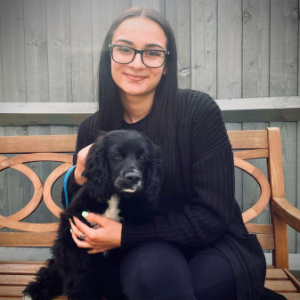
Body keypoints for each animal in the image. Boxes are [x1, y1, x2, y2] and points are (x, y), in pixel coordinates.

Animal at [22, 130, 162, 300]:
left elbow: (114, 279)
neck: (115, 196)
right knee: (52, 272)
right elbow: (78, 275)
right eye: (116, 155)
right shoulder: (71, 239)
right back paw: (36, 290)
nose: (133, 178)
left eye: (143, 158)